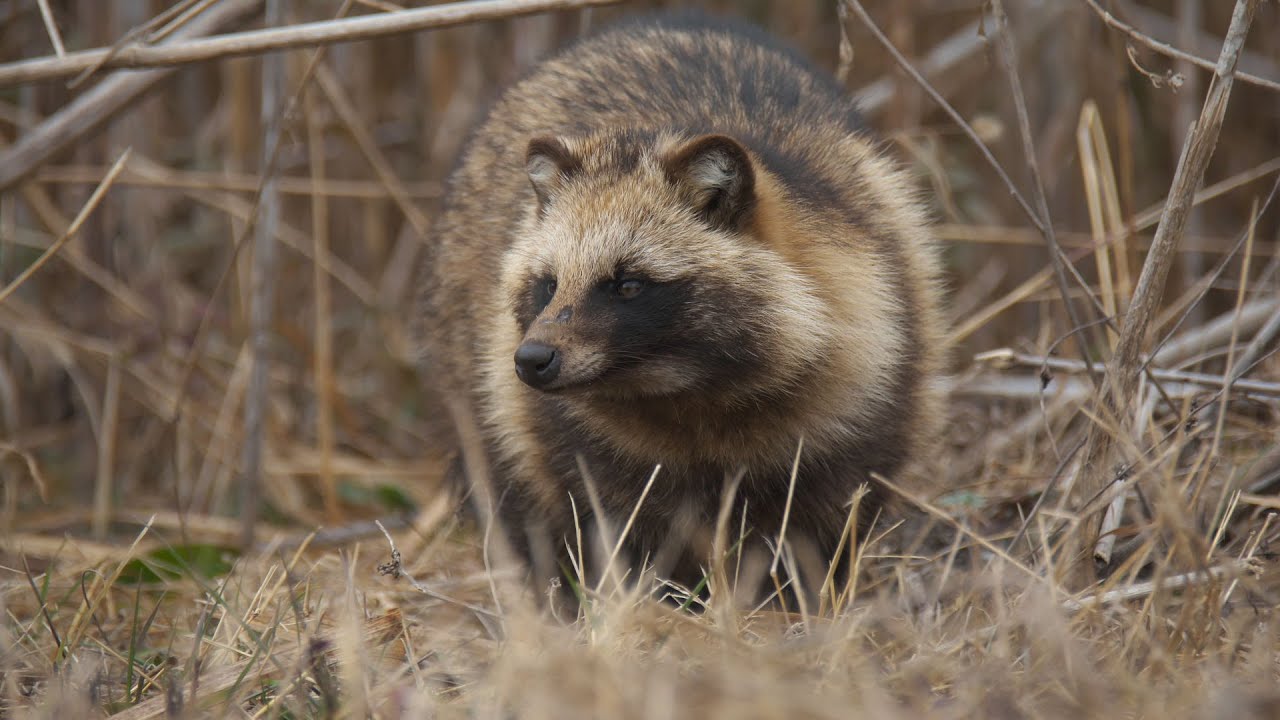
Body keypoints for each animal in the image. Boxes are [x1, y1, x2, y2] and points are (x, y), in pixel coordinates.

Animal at [415, 13, 946, 598]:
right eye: (549, 285)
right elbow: (602, 526)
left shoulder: (870, 390)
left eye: (627, 284)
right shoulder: (564, 438)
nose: (531, 360)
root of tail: (656, 22)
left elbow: (824, 530)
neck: (688, 390)